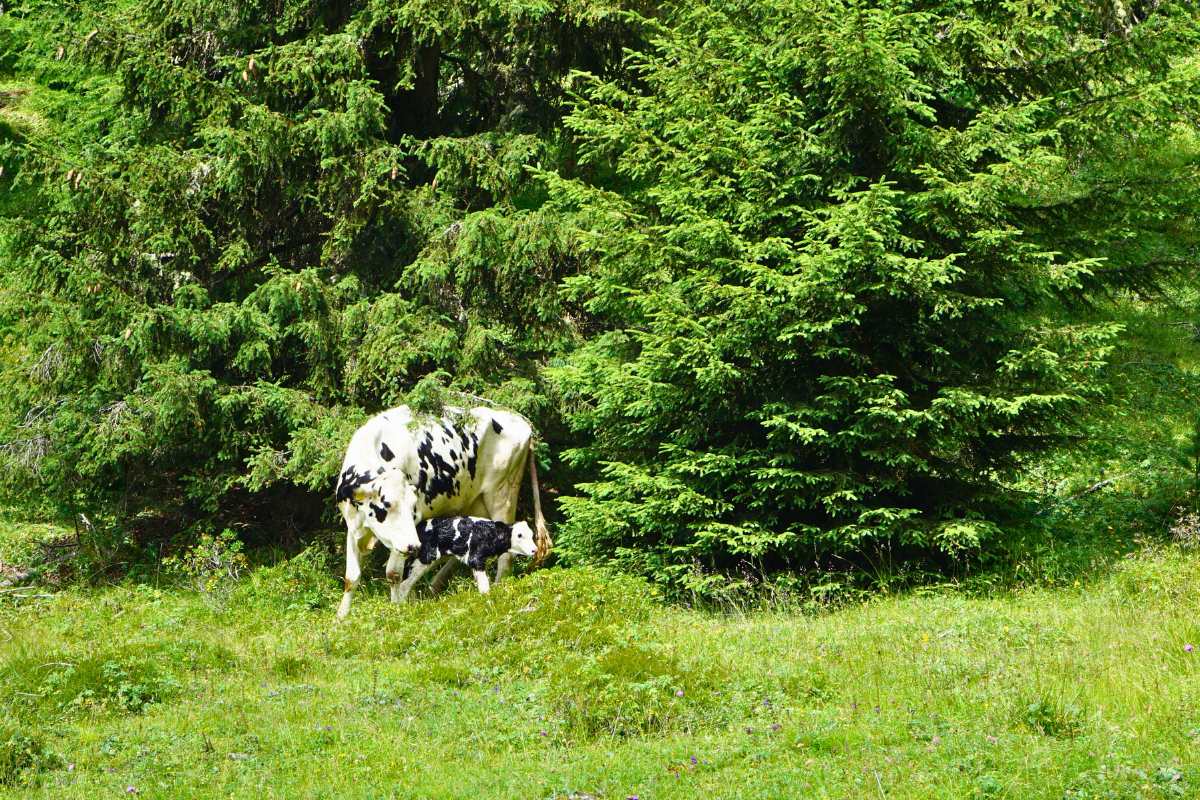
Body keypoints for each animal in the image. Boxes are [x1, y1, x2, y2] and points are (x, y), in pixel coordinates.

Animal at [392, 517, 539, 601]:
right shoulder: (475, 559)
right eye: (519, 535)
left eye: (532, 534)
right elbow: (484, 585)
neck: (488, 534)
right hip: (426, 557)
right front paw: (488, 599)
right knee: (404, 583)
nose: (535, 550)